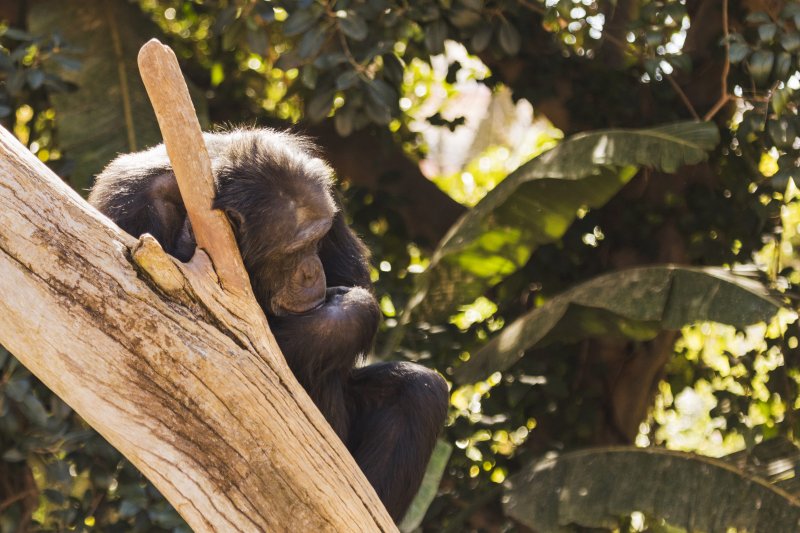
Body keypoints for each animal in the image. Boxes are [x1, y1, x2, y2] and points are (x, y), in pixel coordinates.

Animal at [89, 129, 450, 520]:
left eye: (317, 239)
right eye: (292, 251)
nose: (311, 272)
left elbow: (357, 287)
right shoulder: (128, 205)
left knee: (420, 390)